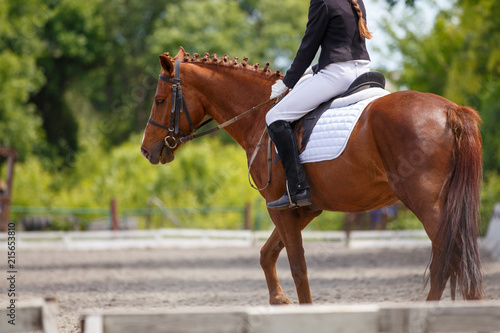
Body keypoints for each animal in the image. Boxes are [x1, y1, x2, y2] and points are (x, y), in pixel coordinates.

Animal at [139, 46, 482, 304]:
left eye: (159, 100)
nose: (146, 151)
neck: (258, 116)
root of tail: (451, 110)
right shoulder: (301, 208)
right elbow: (267, 254)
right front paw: (279, 301)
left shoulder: (280, 207)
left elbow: (297, 267)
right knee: (457, 259)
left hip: (425, 202)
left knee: (449, 258)